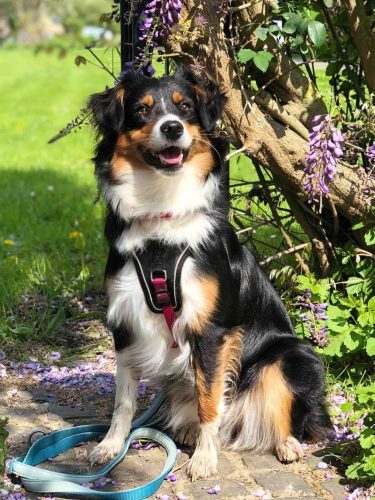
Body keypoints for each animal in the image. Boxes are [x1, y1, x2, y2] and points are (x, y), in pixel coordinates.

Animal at [86, 67, 332, 480]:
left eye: (185, 107)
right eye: (141, 110)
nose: (172, 128)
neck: (162, 217)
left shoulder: (211, 330)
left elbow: (209, 401)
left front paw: (204, 459)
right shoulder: (125, 320)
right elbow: (124, 400)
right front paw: (110, 446)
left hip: (289, 355)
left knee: (280, 408)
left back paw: (285, 443)